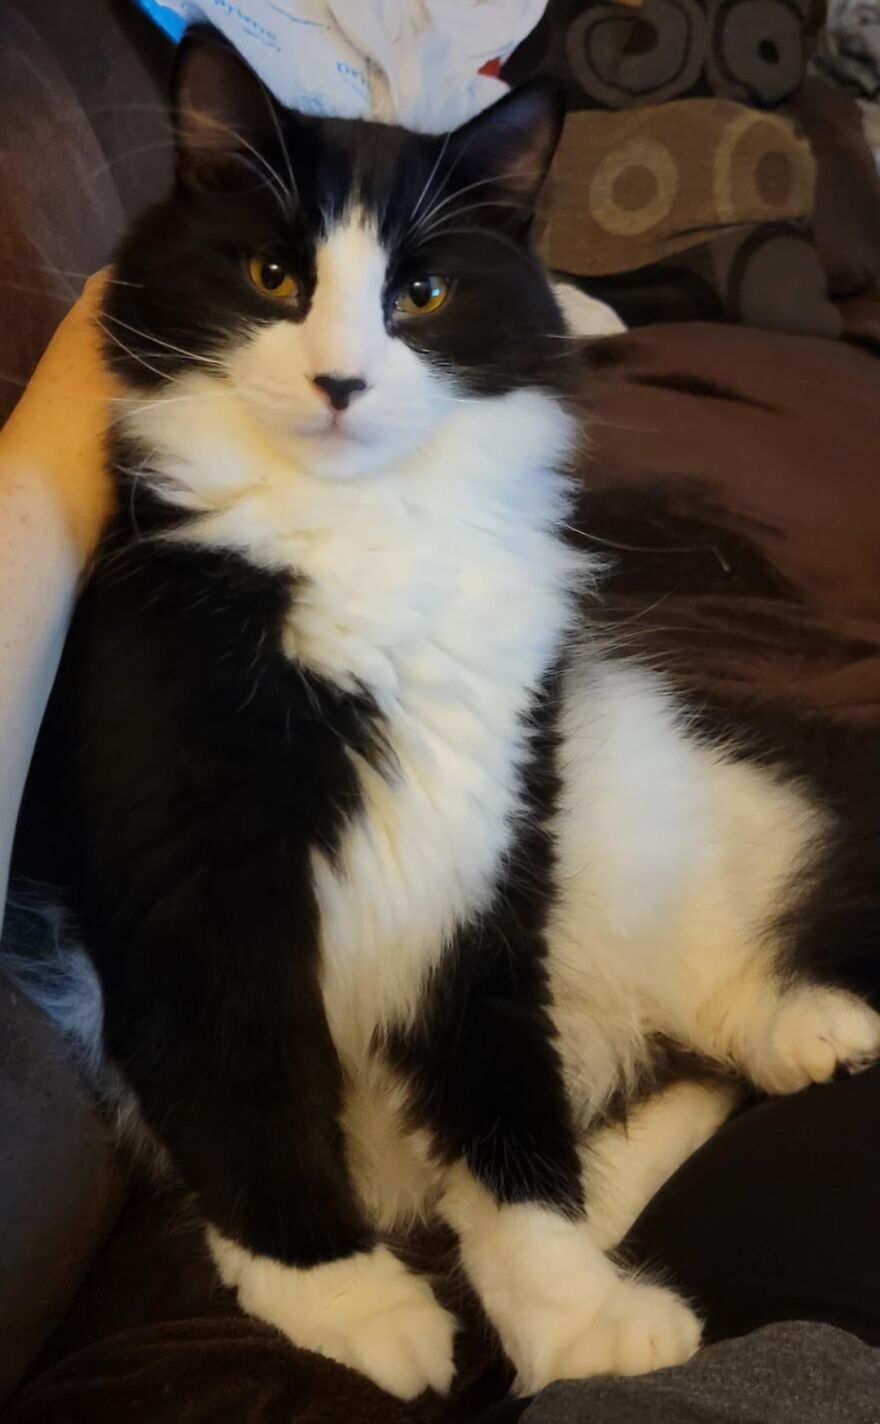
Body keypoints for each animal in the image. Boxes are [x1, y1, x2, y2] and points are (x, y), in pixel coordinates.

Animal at [17, 27, 877, 1406]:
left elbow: (511, 1135)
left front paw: (575, 1317)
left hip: (613, 795)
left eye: (417, 294)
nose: (341, 381)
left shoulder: (485, 856)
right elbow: (250, 1112)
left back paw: (811, 1030)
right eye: (274, 276)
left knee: (700, 982)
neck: (355, 533)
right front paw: (357, 1303)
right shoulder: (195, 893)